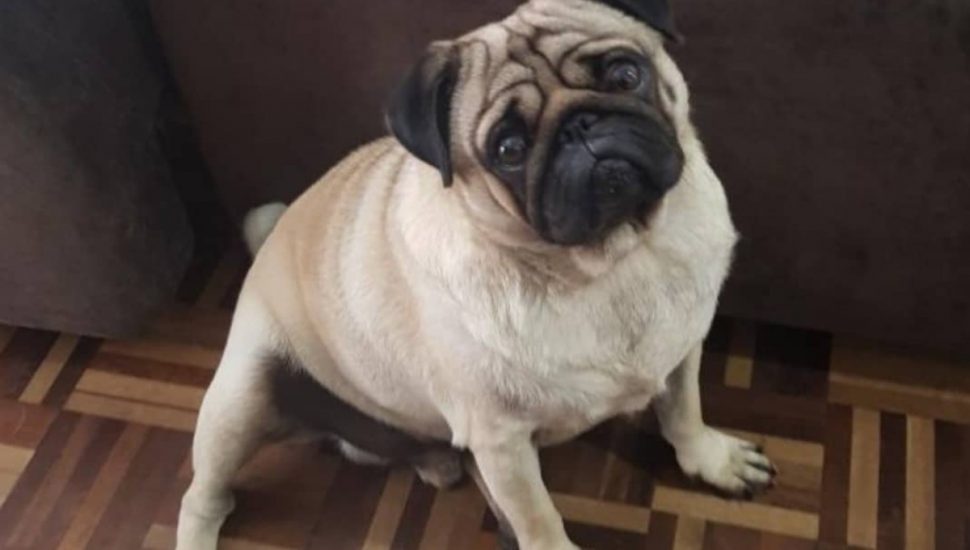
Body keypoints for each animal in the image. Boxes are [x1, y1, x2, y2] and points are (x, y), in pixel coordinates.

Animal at [176, 1, 776, 548]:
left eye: (627, 76)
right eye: (508, 149)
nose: (579, 127)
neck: (614, 262)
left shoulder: (682, 349)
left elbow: (682, 412)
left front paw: (710, 459)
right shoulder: (502, 441)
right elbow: (539, 519)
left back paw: (436, 462)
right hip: (239, 399)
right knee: (204, 497)